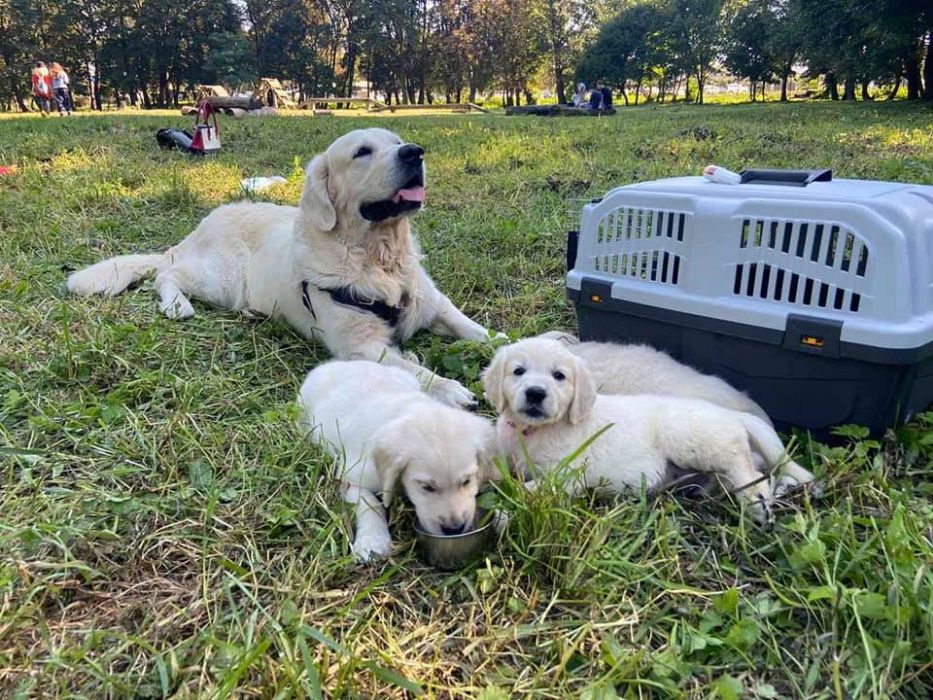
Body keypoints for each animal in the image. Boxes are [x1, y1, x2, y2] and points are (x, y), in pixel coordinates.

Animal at [67, 129, 496, 408]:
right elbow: (416, 371)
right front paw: (450, 388)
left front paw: (503, 347)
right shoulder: (361, 346)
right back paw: (177, 305)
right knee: (166, 274)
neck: (378, 256)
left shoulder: (434, 304)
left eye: (396, 141)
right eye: (362, 152)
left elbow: (477, 331)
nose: (415, 152)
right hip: (219, 279)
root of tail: (200, 227)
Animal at [298, 360, 496, 564]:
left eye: (467, 481)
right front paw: (372, 542)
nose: (454, 529)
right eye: (426, 487)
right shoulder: (353, 476)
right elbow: (370, 504)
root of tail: (340, 363)